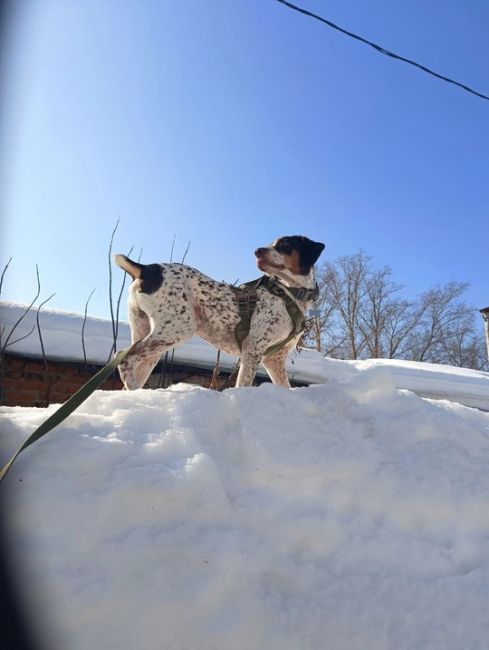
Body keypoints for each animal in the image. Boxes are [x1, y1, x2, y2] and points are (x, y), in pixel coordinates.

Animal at [114, 235, 324, 388]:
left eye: (285, 244)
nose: (257, 251)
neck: (288, 293)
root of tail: (145, 269)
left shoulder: (274, 360)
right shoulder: (252, 350)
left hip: (149, 339)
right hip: (177, 330)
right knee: (124, 358)